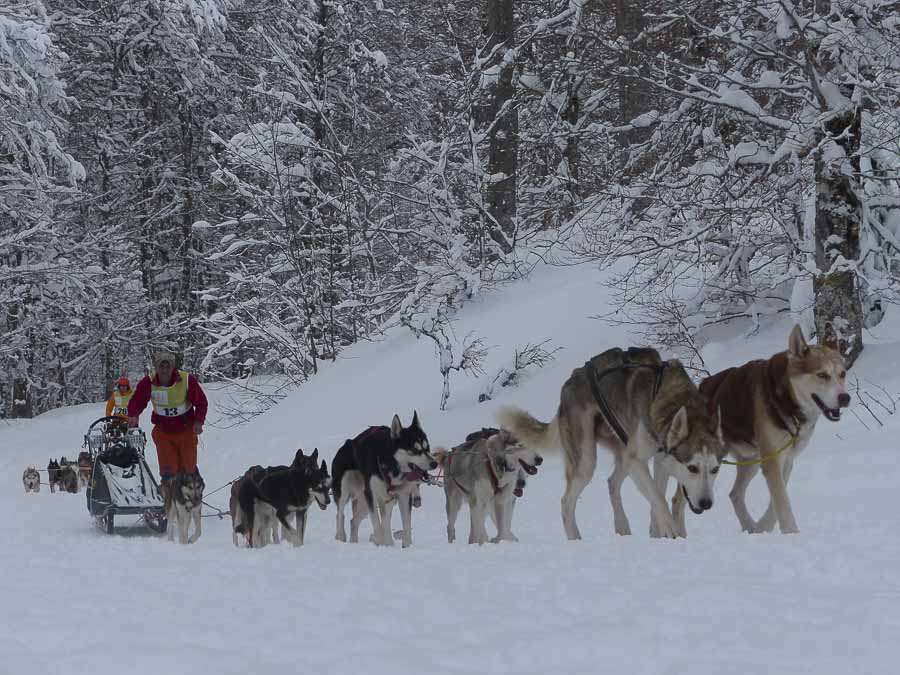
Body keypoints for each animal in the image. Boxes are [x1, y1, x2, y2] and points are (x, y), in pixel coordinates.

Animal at [334, 412, 440, 548]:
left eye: (427, 448)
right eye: (414, 450)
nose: (435, 464)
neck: (392, 465)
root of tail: (346, 444)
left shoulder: (404, 496)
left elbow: (405, 525)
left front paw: (406, 546)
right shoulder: (372, 495)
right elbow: (377, 525)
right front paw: (379, 543)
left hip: (368, 502)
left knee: (354, 521)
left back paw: (356, 541)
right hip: (345, 491)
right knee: (340, 513)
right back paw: (340, 537)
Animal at [496, 346, 728, 540]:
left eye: (715, 469)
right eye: (692, 468)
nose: (706, 503)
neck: (669, 398)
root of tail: (569, 383)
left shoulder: (661, 461)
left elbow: (657, 497)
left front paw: (657, 532)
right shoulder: (638, 460)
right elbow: (657, 497)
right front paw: (670, 530)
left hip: (621, 452)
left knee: (612, 483)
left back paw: (622, 526)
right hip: (587, 461)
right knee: (566, 503)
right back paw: (576, 539)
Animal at [692, 324, 856, 536]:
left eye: (842, 374)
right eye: (822, 375)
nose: (845, 398)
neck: (787, 401)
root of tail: (702, 386)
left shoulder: (784, 459)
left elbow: (777, 500)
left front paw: (764, 527)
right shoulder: (772, 460)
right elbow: (781, 500)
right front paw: (792, 532)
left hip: (751, 461)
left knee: (735, 494)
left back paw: (750, 526)